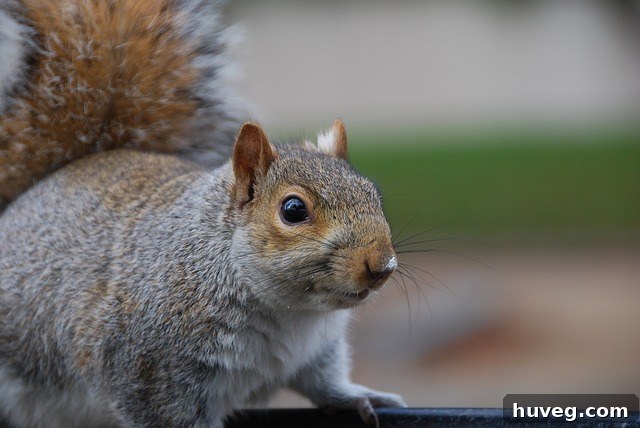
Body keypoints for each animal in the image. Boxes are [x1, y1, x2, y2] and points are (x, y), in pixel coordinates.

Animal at [0, 1, 405, 427]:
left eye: (372, 193)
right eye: (293, 210)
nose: (382, 264)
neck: (290, 314)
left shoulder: (315, 350)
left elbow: (324, 382)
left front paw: (359, 396)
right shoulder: (152, 373)